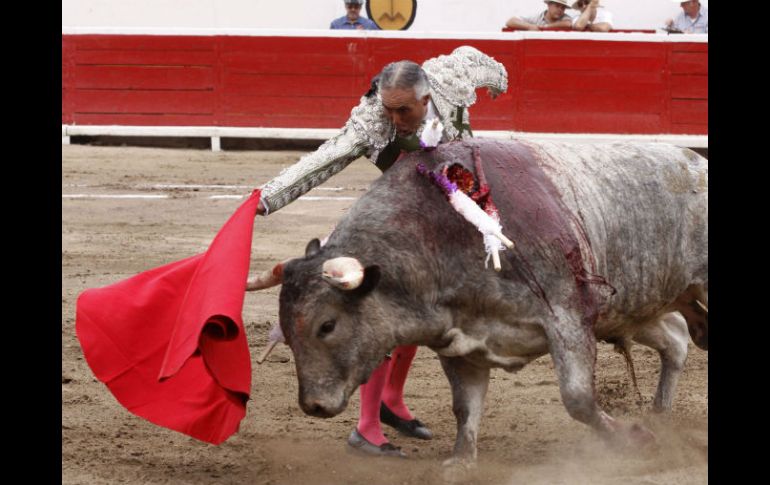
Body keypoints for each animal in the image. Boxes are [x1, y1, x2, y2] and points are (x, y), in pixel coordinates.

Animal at [272, 138, 708, 464]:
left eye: (327, 325)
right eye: (288, 336)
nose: (313, 405)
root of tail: (696, 163)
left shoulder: (567, 316)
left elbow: (578, 399)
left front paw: (633, 438)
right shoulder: (459, 342)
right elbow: (466, 407)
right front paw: (462, 461)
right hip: (634, 309)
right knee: (677, 339)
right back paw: (661, 415)